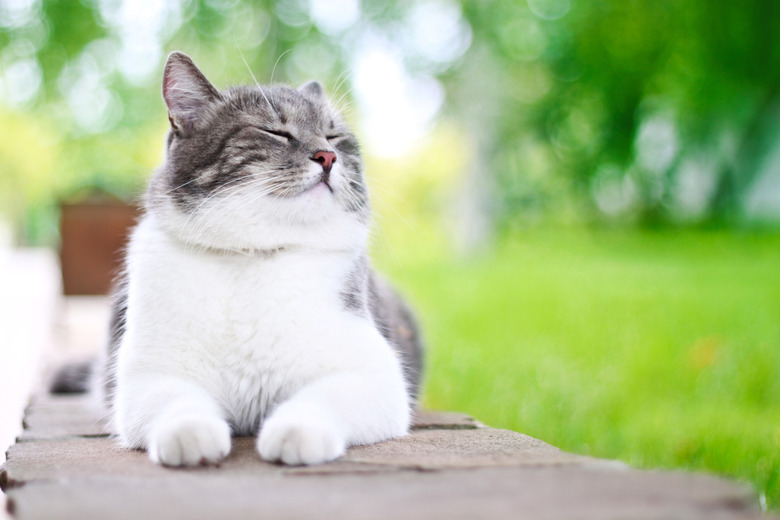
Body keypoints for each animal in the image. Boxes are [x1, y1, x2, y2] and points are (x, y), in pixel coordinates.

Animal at [54, 52, 424, 468]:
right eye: (275, 132)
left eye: (335, 137)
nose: (328, 156)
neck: (253, 255)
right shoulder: (149, 378)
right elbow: (178, 402)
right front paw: (190, 434)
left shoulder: (376, 379)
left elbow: (321, 399)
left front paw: (295, 432)